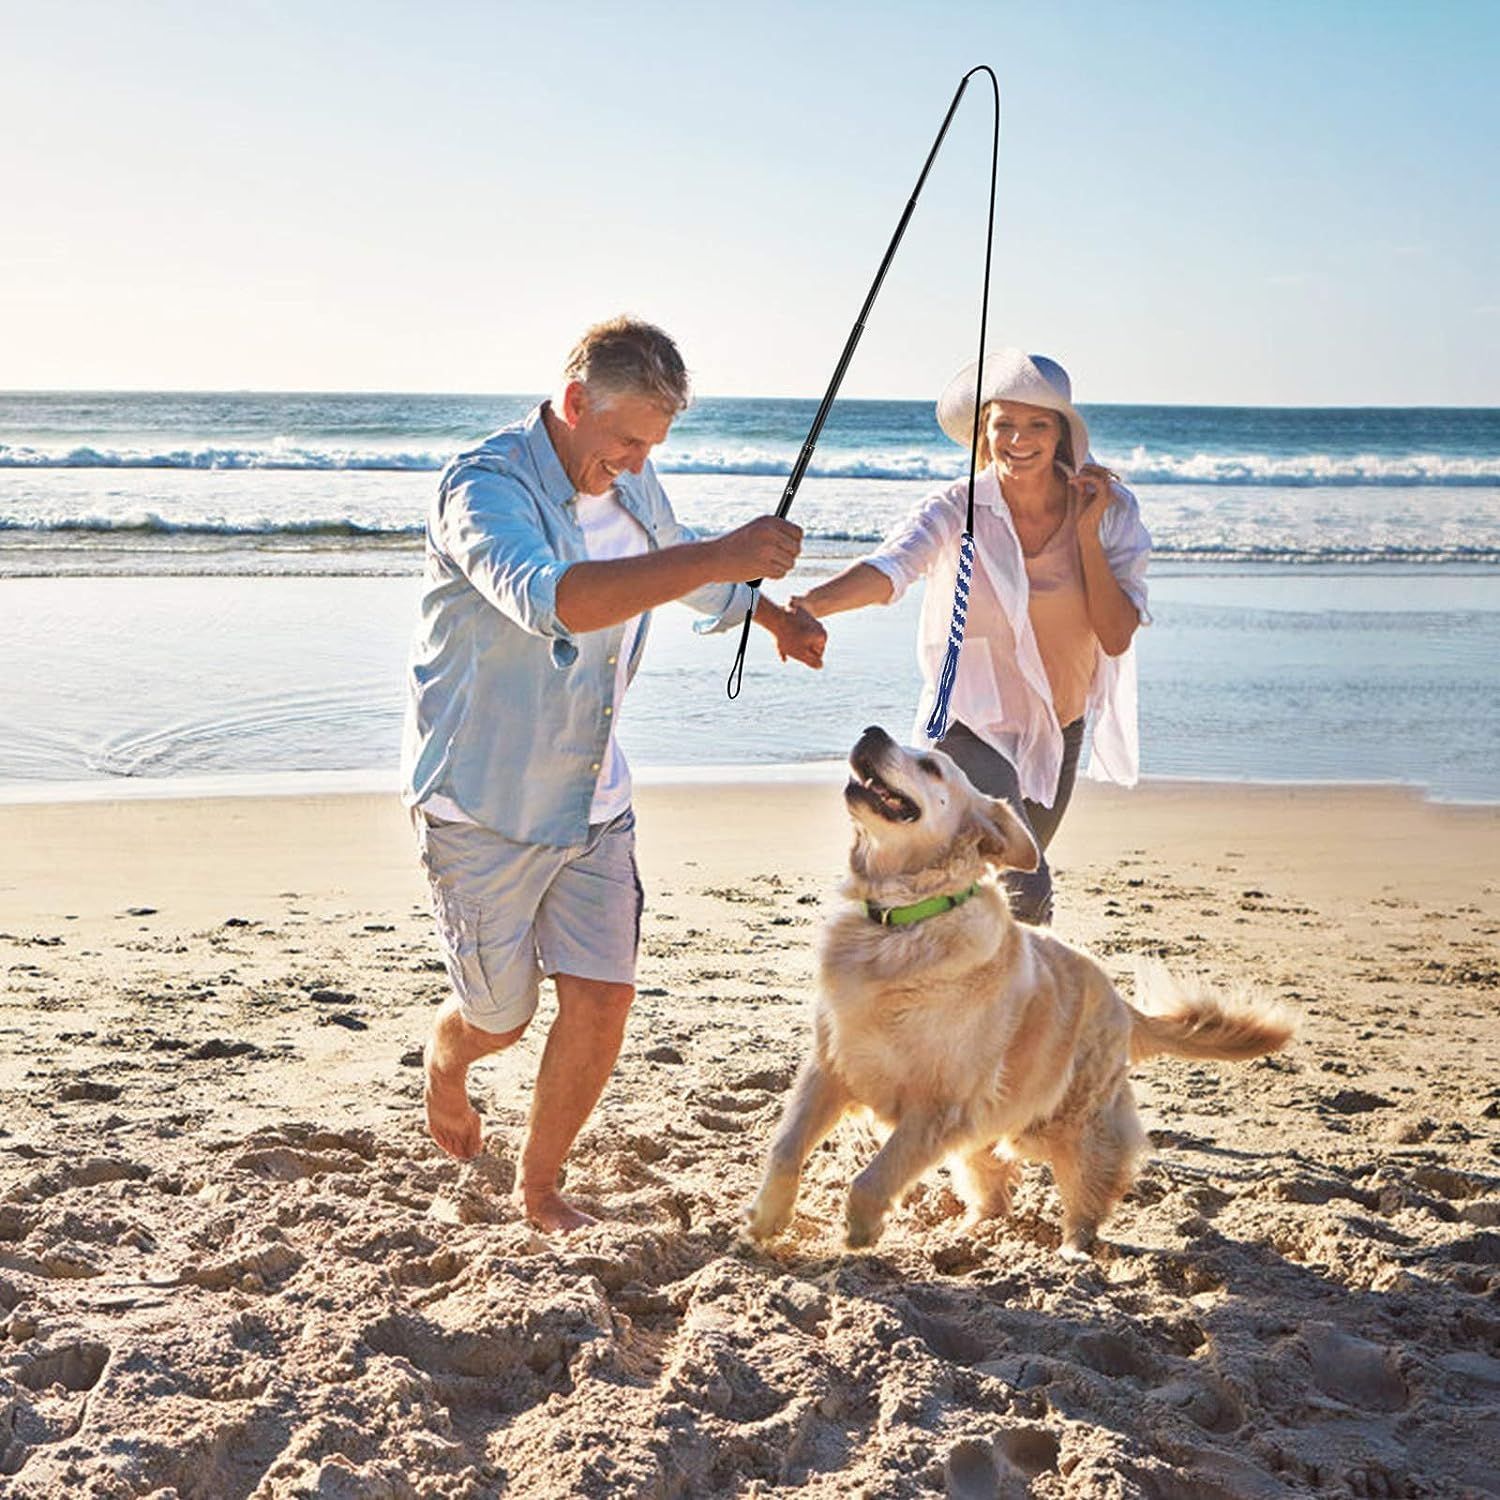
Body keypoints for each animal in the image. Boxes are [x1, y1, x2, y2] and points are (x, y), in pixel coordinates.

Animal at [744, 726, 1296, 1254]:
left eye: (932, 766)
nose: (871, 732)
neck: (900, 923)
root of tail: (1120, 1003)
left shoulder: (938, 1106)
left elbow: (874, 1176)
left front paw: (860, 1228)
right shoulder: (831, 1068)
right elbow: (786, 1147)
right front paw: (768, 1218)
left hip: (1069, 1124)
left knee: (1089, 1193)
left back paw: (1074, 1252)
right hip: (988, 1130)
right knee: (995, 1191)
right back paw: (968, 1234)